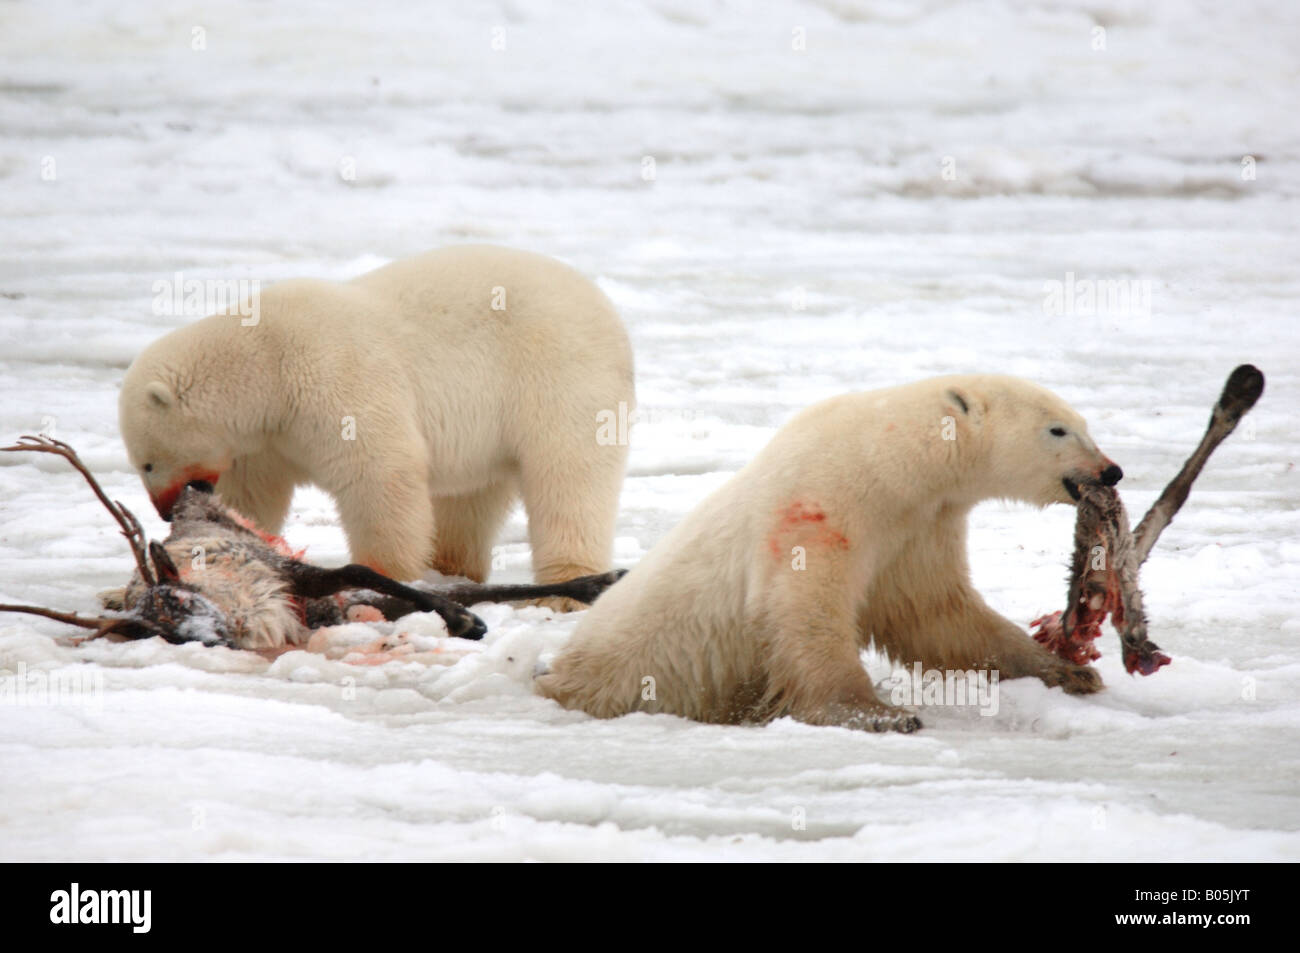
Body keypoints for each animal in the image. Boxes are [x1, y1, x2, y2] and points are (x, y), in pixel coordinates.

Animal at [119, 243, 637, 595]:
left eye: (147, 462)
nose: (164, 509)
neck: (264, 359)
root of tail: (604, 306)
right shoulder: (268, 436)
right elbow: (253, 494)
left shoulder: (328, 372)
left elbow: (379, 469)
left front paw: (382, 572)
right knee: (470, 499)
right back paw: (452, 567)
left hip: (559, 374)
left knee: (568, 476)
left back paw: (568, 580)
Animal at [538, 371, 1128, 728]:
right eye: (1058, 429)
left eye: (1085, 425)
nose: (1111, 471)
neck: (889, 461)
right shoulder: (820, 506)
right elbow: (806, 612)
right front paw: (880, 714)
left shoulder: (921, 526)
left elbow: (936, 615)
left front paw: (1069, 671)